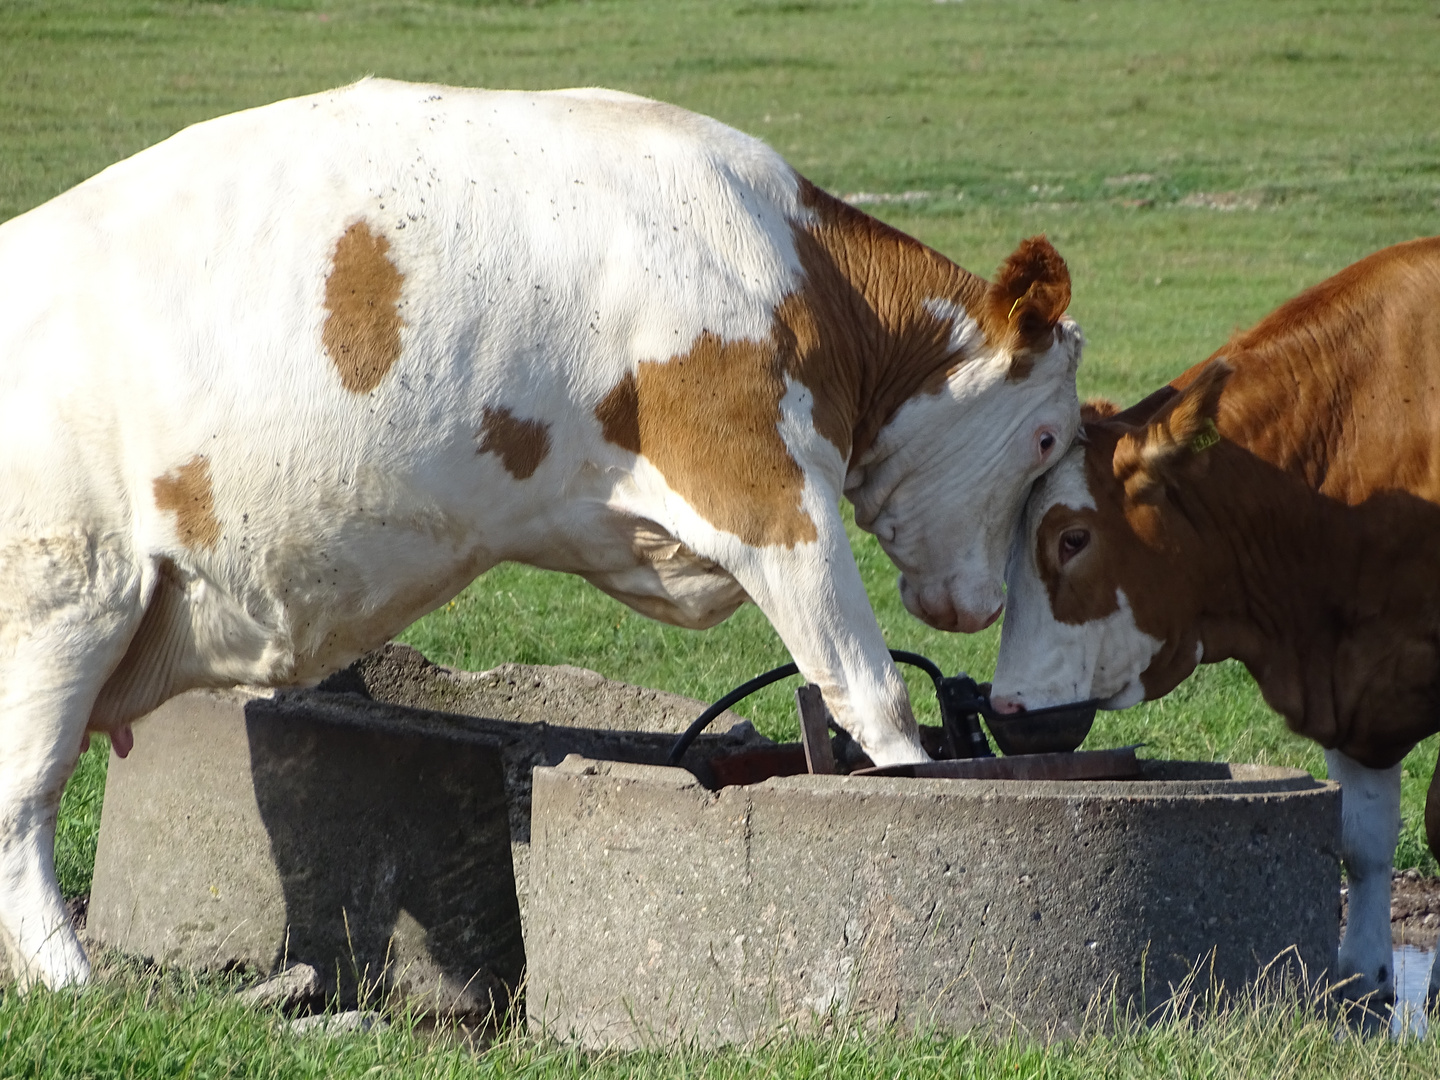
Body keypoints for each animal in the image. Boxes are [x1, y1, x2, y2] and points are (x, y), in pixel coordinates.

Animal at [0, 78, 1082, 990]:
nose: (979, 604)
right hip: (65, 603)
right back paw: (69, 979)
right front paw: (918, 790)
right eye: (1045, 437)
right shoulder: (765, 489)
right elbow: (867, 685)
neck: (799, 271)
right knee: (22, 803)